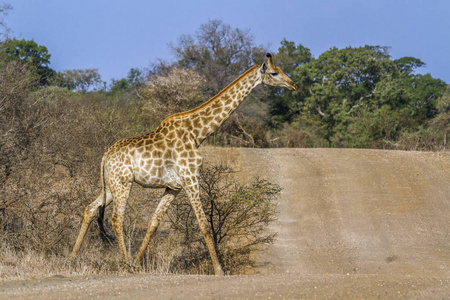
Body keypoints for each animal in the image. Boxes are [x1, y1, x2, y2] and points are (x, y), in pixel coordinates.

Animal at [71, 53, 296, 274]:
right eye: (274, 73)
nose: (293, 84)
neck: (197, 133)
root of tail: (105, 156)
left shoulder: (174, 187)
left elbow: (153, 223)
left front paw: (137, 263)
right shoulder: (190, 178)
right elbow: (204, 225)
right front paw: (219, 270)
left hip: (110, 185)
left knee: (90, 209)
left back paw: (74, 258)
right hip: (122, 183)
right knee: (116, 219)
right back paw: (124, 263)